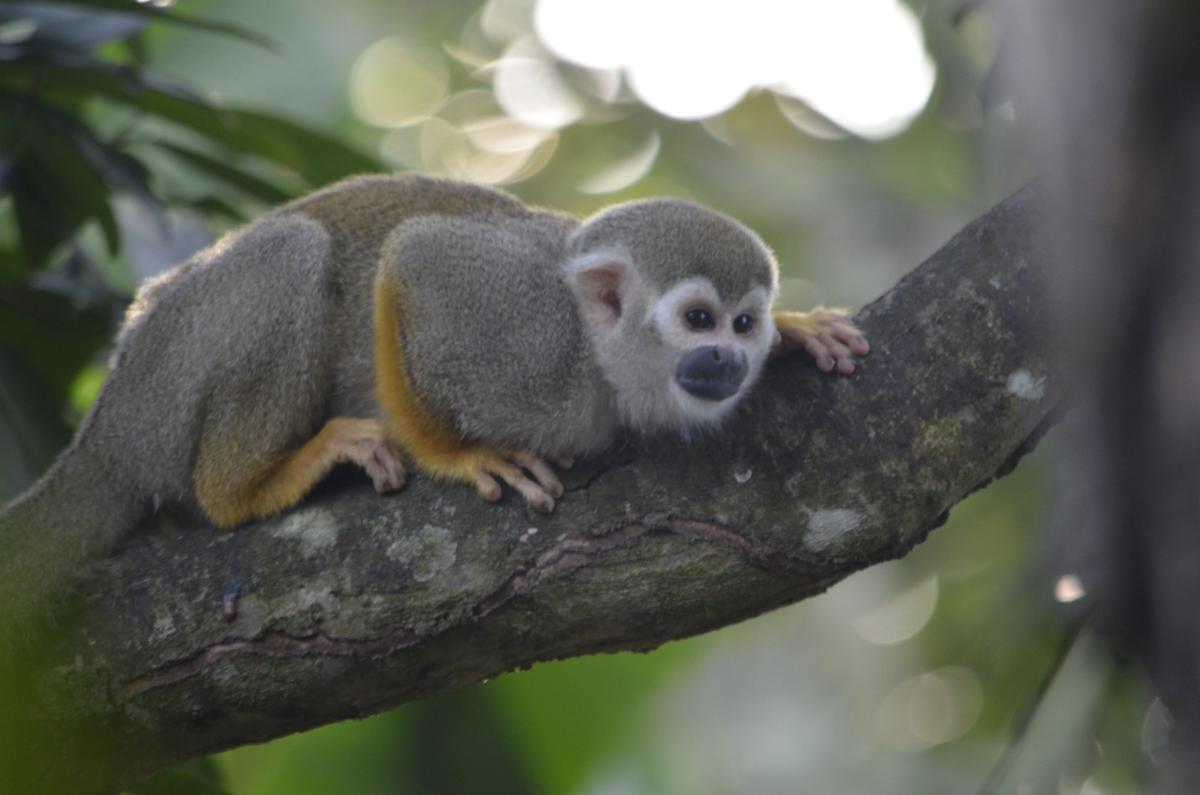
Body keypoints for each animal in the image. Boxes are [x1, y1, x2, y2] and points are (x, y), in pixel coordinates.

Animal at [0, 174, 867, 644]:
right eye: (697, 319)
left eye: (744, 323)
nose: (731, 358)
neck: (600, 363)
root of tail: (106, 424)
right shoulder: (522, 335)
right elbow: (412, 257)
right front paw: (457, 455)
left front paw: (797, 331)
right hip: (170, 375)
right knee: (293, 253)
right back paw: (243, 485)